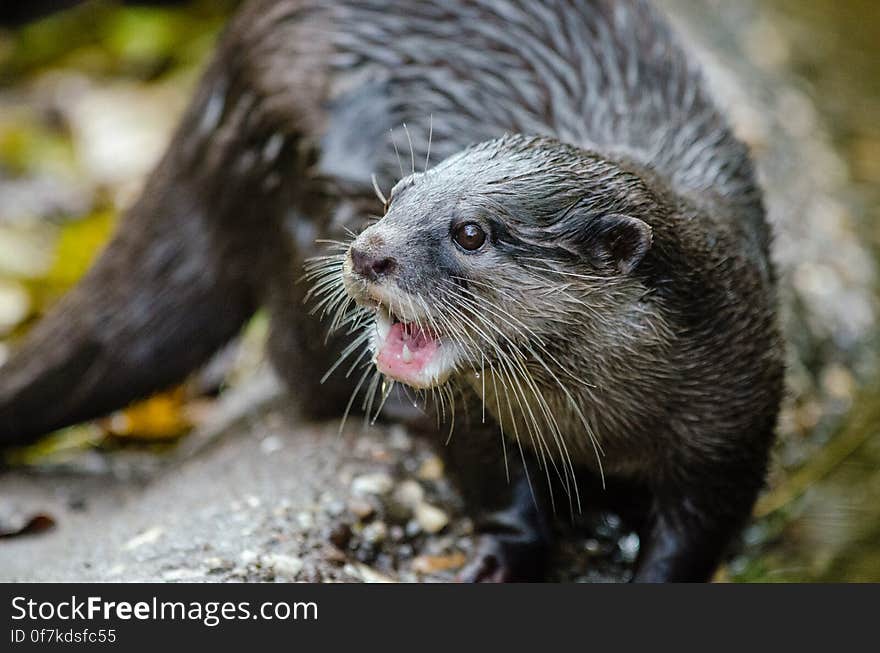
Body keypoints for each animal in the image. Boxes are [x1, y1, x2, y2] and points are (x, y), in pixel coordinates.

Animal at [0, 0, 784, 580]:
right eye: (399, 193)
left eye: (471, 231)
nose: (368, 251)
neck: (601, 425)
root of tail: (224, 72)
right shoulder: (472, 414)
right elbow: (495, 484)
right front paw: (501, 557)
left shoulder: (737, 423)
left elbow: (698, 531)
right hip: (296, 179)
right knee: (297, 360)